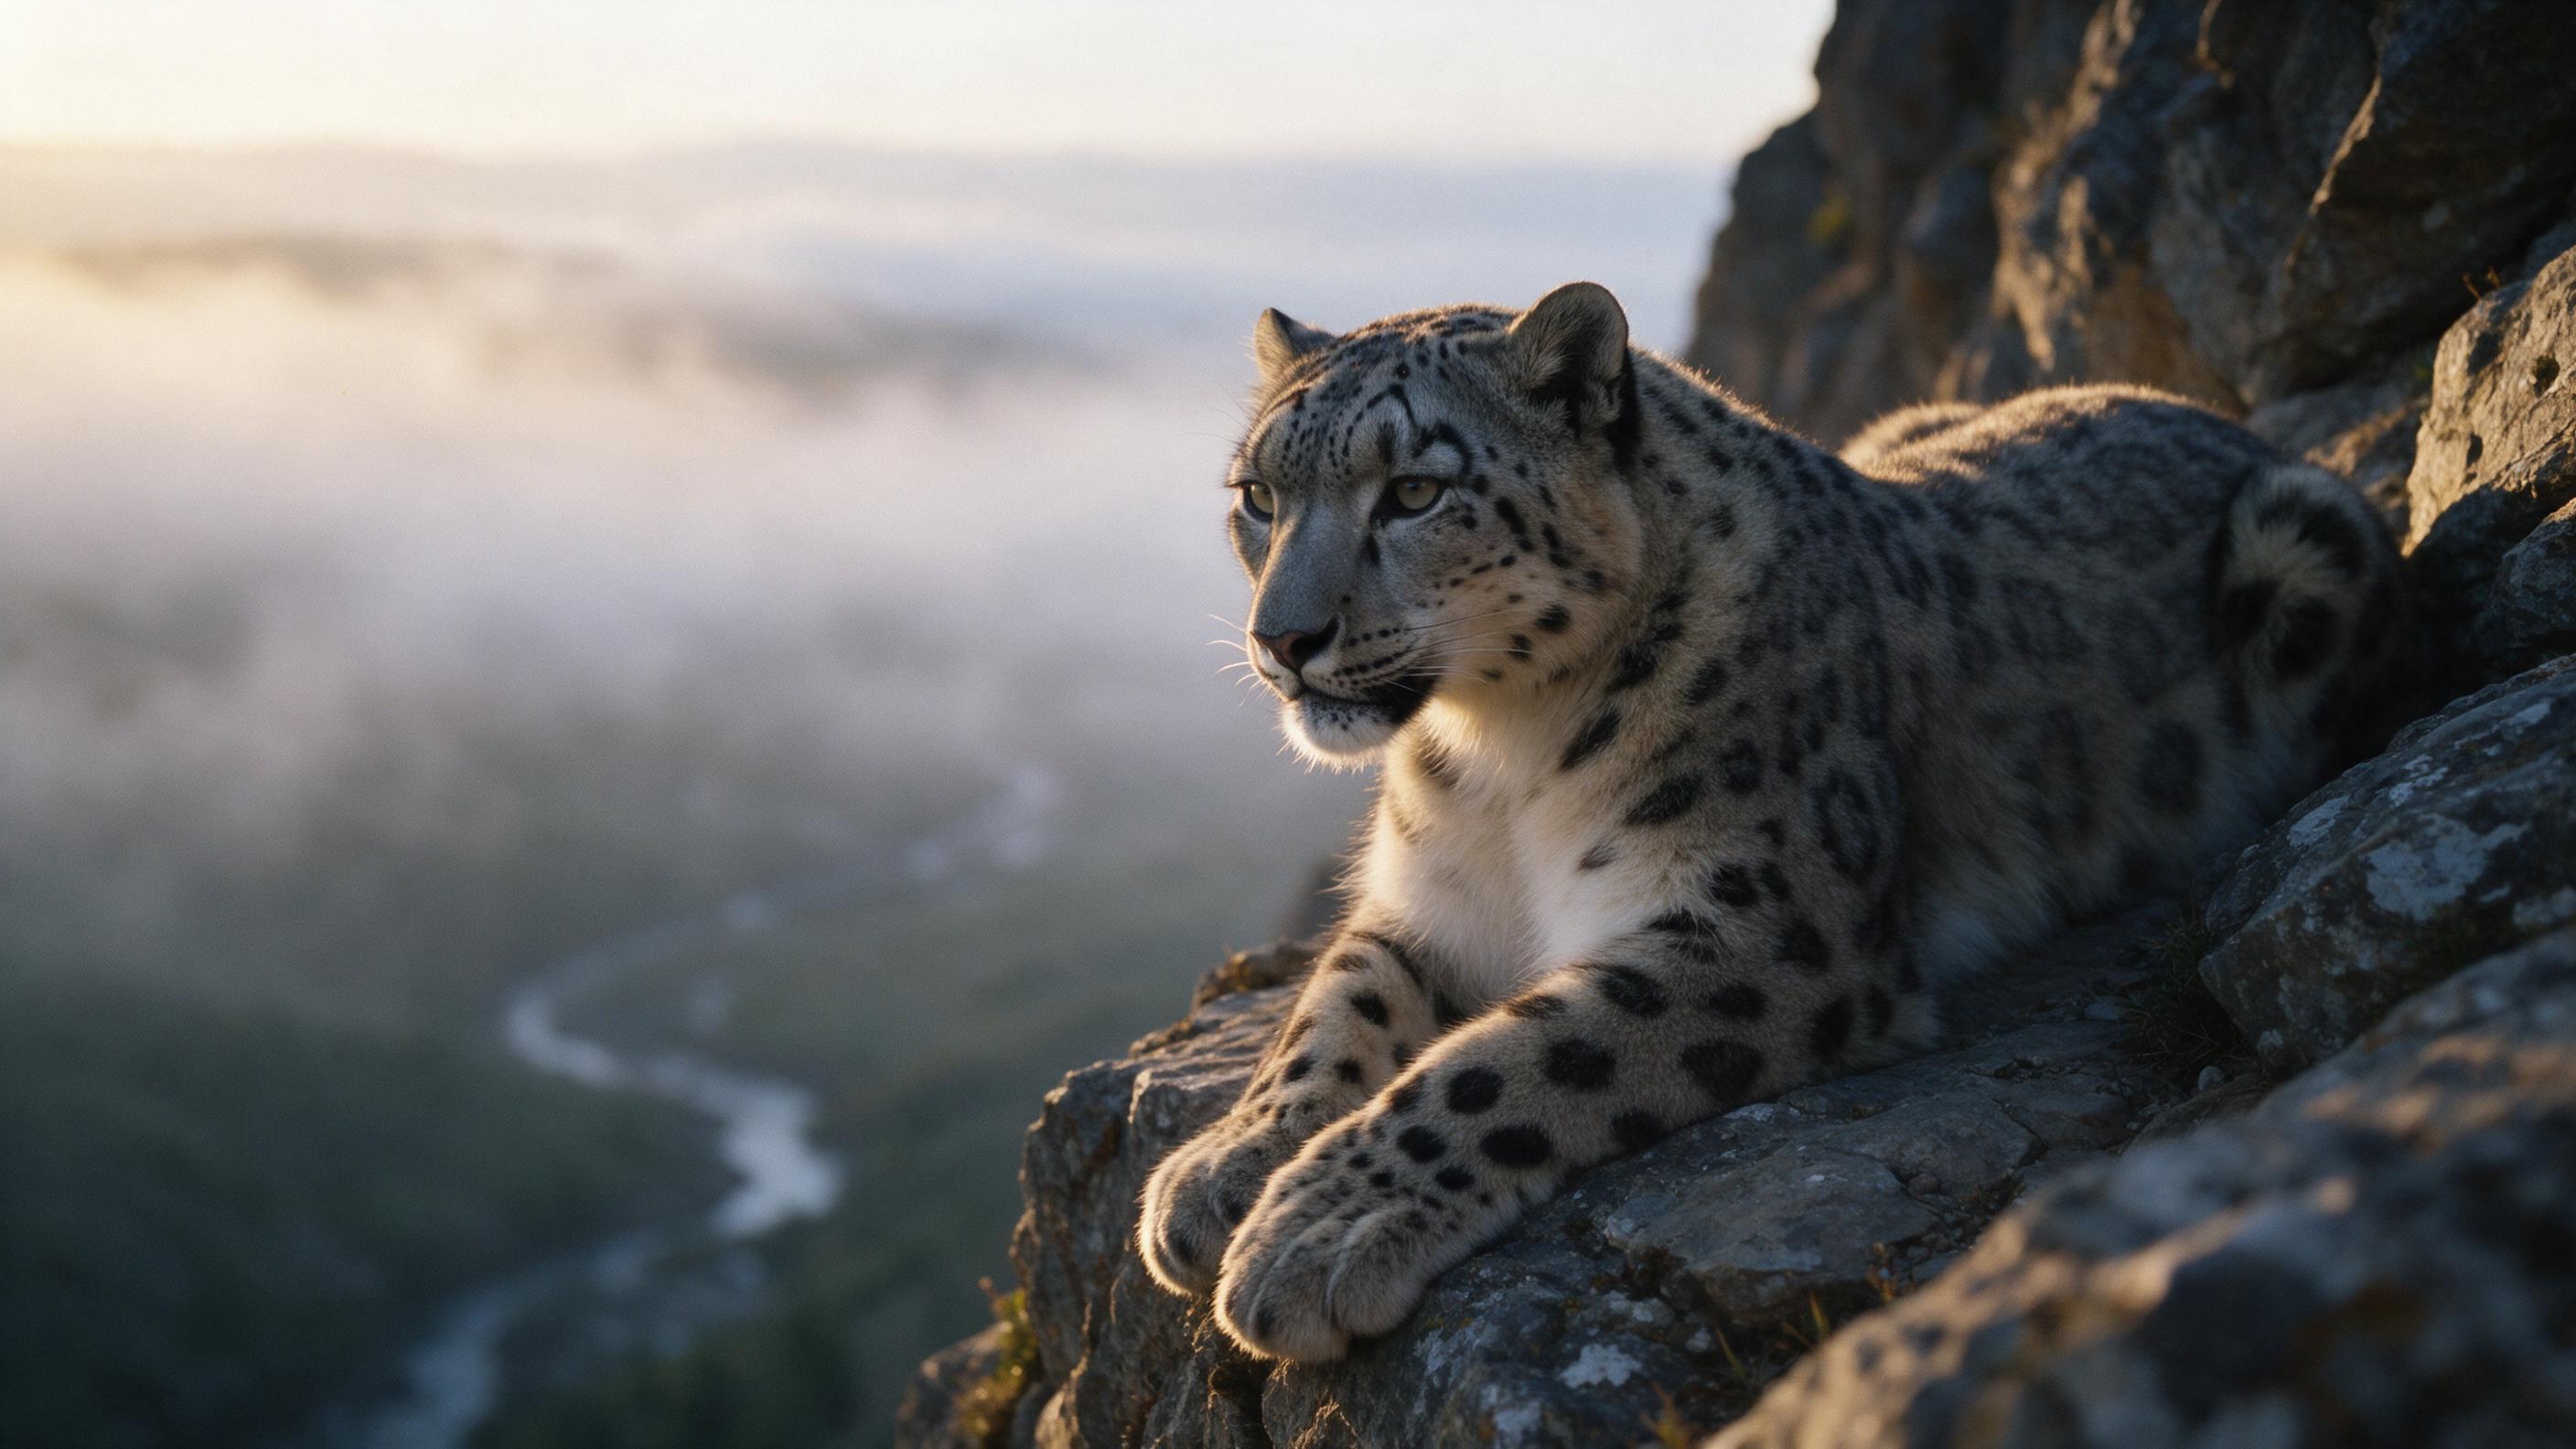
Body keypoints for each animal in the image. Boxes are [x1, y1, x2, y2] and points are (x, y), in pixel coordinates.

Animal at [1136, 281, 2408, 1363]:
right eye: (1258, 497)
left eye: (1412, 491)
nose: (1280, 640)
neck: (1497, 757)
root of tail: (2200, 411)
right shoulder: (1426, 905)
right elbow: (1329, 1015)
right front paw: (1222, 1170)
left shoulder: (1769, 927)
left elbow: (1502, 1063)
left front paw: (1313, 1232)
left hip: (2304, 541)